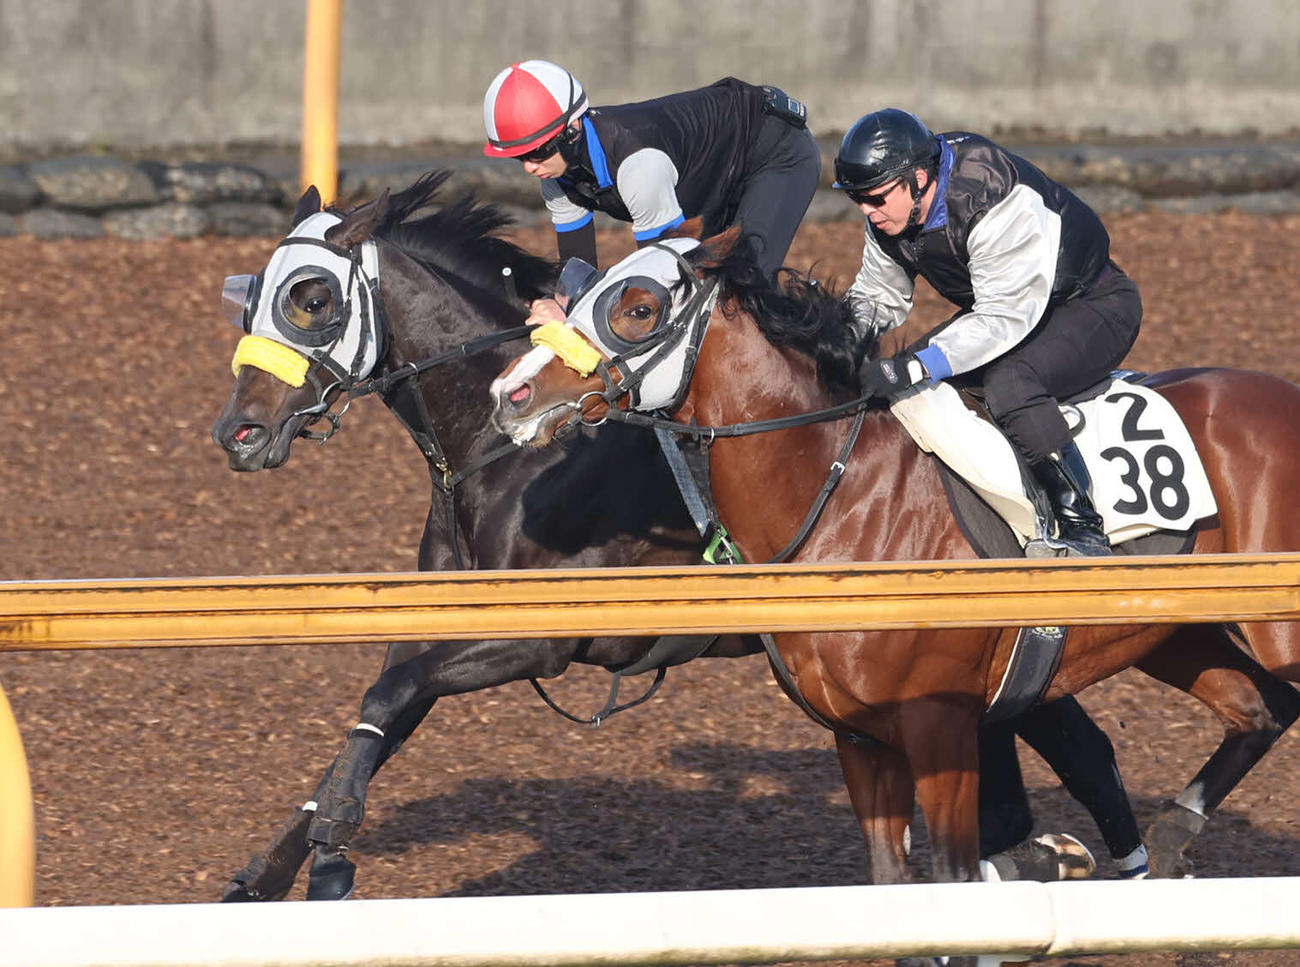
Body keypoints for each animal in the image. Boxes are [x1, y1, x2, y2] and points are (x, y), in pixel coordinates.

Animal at [488, 224, 1300, 888]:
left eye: (637, 308)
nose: (511, 393)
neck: (843, 496)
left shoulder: (942, 726)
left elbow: (952, 874)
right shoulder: (860, 737)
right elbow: (890, 880)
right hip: (1174, 632)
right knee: (1261, 708)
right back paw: (1171, 839)